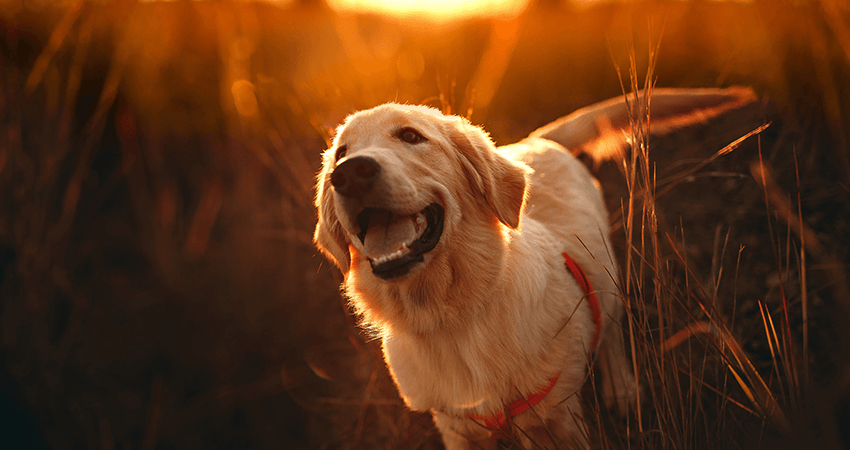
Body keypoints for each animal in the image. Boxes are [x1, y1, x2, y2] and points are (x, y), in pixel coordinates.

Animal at [312, 86, 756, 448]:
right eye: (341, 153)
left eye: (410, 136)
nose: (349, 173)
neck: (452, 319)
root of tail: (536, 140)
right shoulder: (455, 427)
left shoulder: (556, 421)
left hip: (606, 274)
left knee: (611, 331)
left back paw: (622, 391)